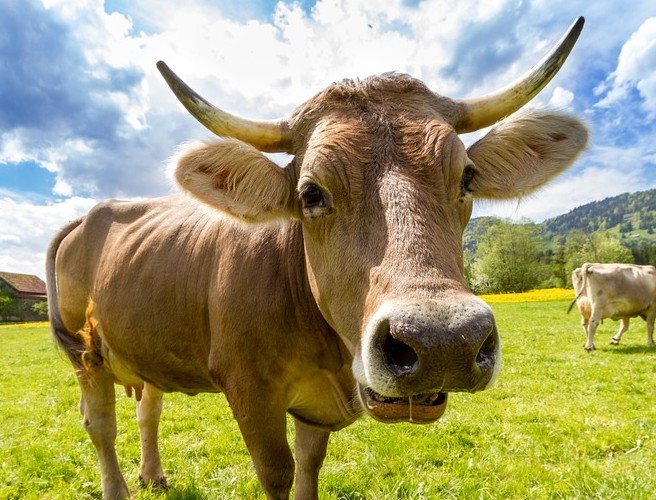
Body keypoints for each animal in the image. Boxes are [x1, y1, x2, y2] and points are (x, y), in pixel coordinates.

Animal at [47, 17, 587, 500]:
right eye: (311, 192)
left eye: (467, 177)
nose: (443, 343)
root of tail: (91, 214)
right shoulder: (250, 392)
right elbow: (278, 473)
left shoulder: (315, 409)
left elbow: (309, 464)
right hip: (85, 353)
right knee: (100, 425)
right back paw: (117, 487)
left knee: (148, 408)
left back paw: (153, 475)